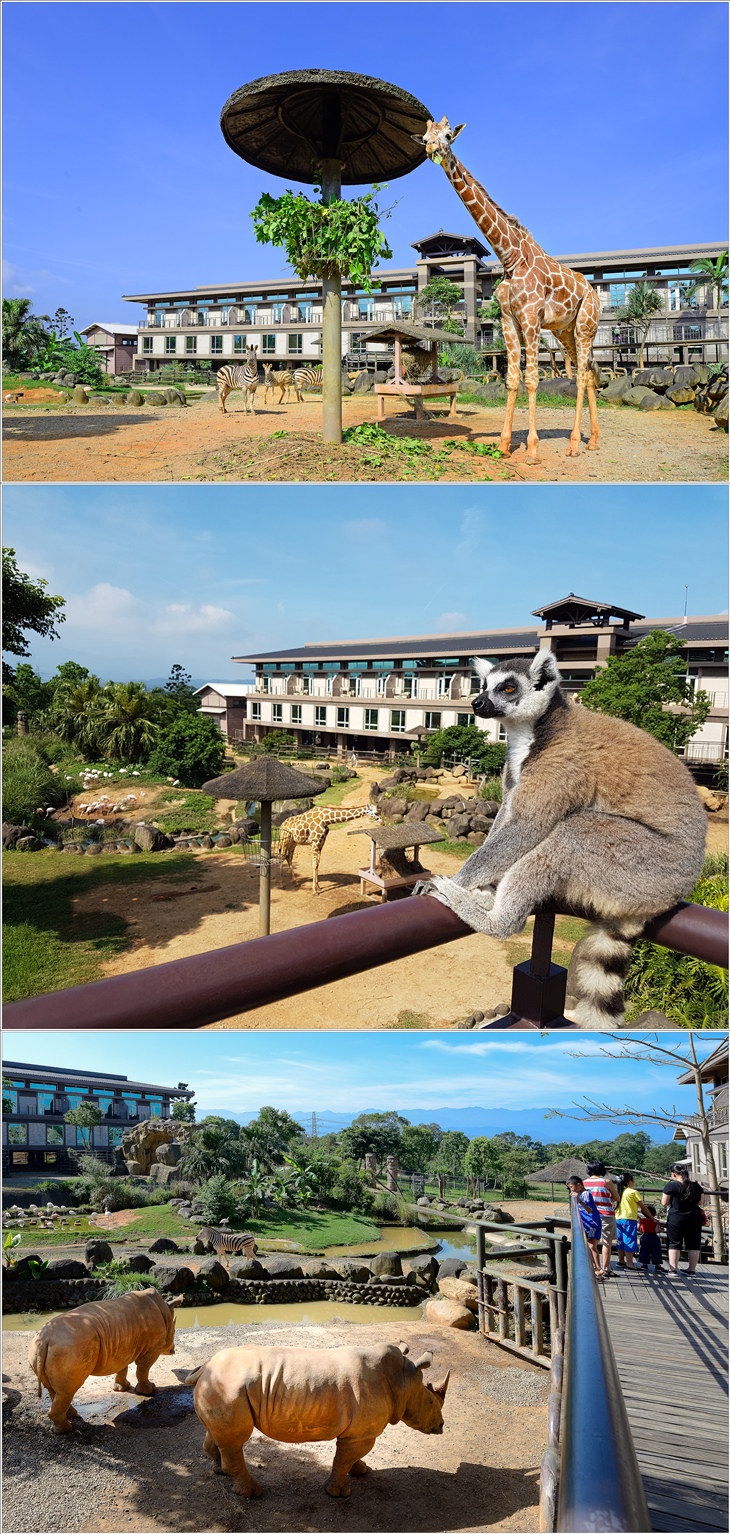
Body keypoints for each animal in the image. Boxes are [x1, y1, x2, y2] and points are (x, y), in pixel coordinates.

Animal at [414, 119, 601, 460]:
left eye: (448, 136)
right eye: (424, 137)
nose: (433, 149)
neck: (511, 257)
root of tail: (595, 294)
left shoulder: (530, 317)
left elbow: (532, 379)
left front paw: (532, 449)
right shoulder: (507, 320)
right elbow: (512, 380)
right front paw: (503, 445)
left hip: (585, 326)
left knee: (581, 375)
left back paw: (572, 443)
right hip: (565, 331)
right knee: (590, 372)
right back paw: (592, 440)